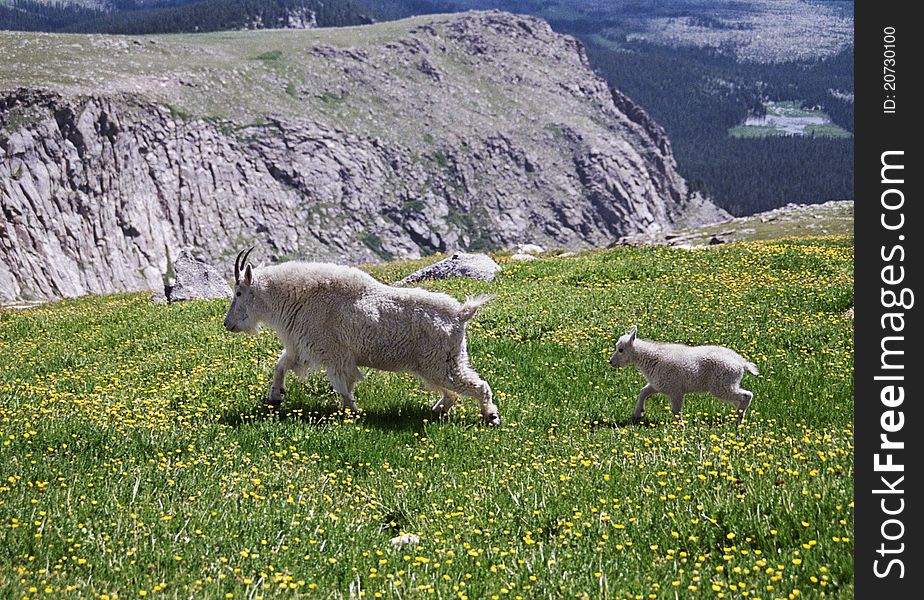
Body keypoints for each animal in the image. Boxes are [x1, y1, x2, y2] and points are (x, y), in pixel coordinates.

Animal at [223, 248, 502, 426]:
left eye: (238, 292)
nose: (228, 324)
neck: (297, 297)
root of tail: (460, 314)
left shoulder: (333, 353)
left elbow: (342, 384)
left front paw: (351, 412)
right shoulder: (303, 348)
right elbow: (280, 365)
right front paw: (275, 397)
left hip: (441, 363)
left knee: (477, 385)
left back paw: (491, 417)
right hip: (434, 365)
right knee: (452, 392)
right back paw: (436, 412)